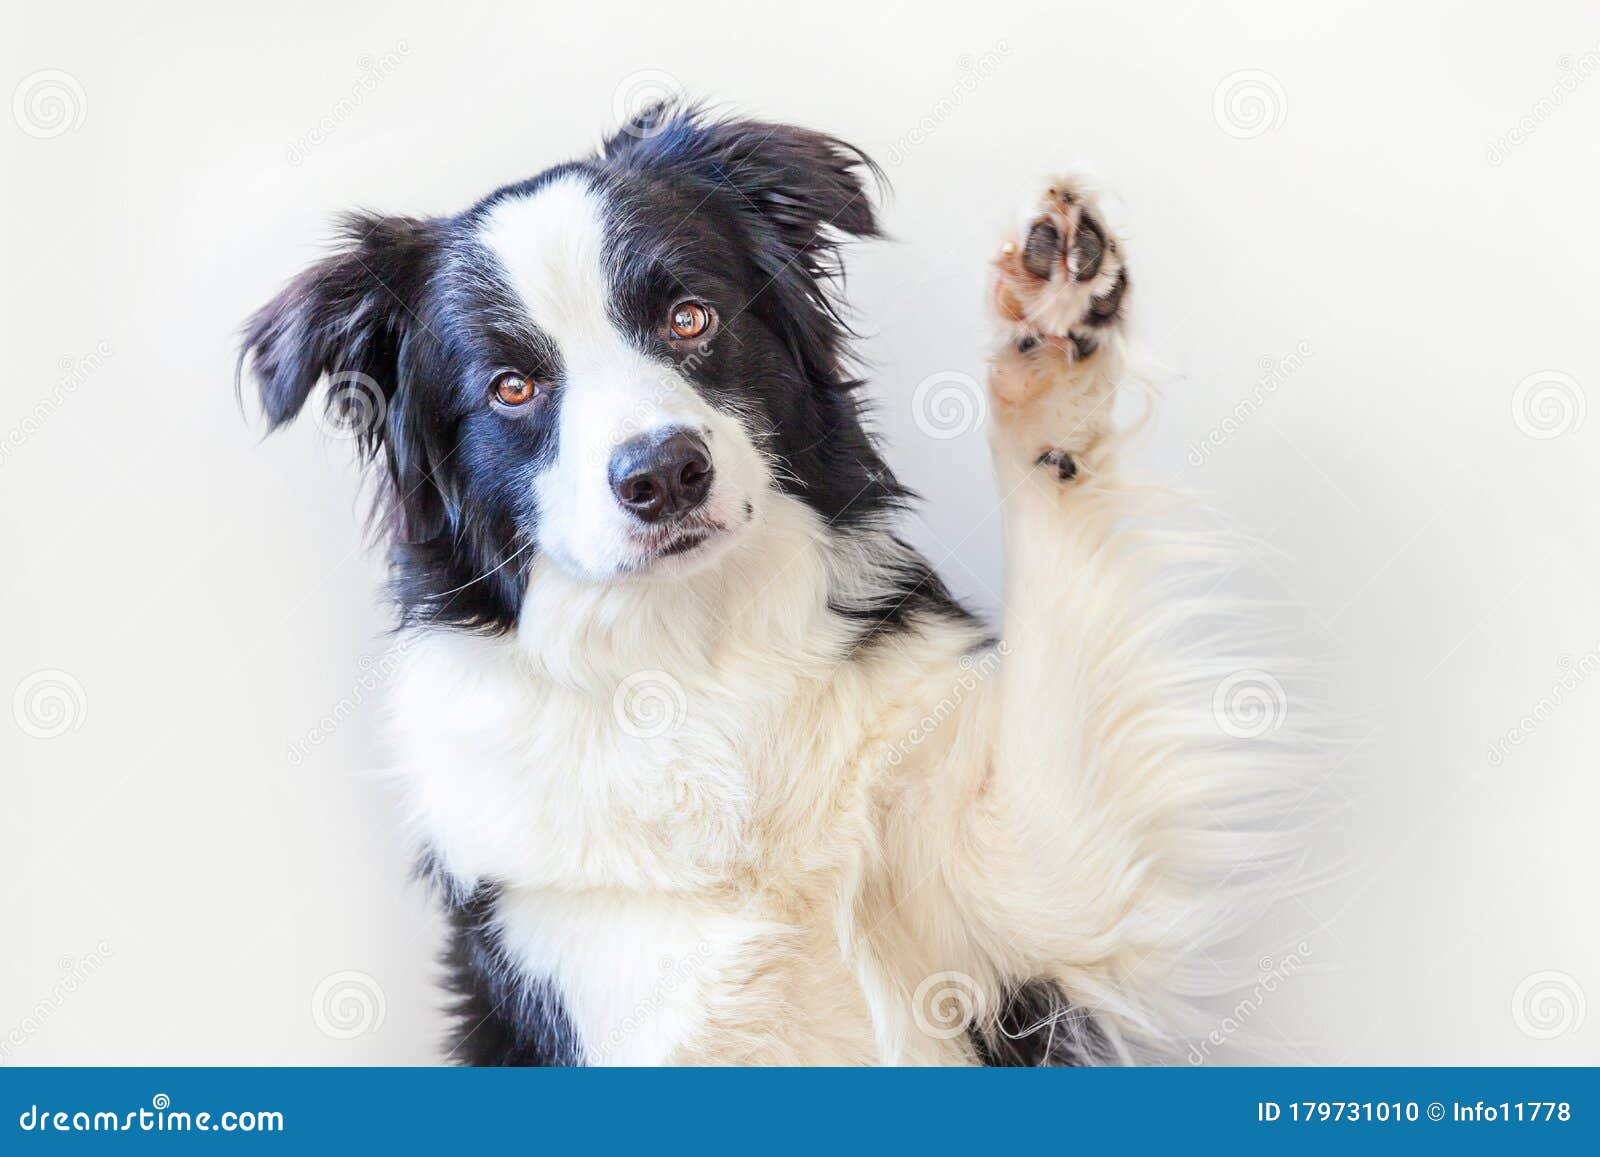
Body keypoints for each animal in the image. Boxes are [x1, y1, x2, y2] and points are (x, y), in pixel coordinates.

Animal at [240, 104, 1286, 1062]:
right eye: (511, 387)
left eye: (688, 317)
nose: (663, 474)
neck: (700, 656)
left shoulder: (1030, 909)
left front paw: (1056, 326)